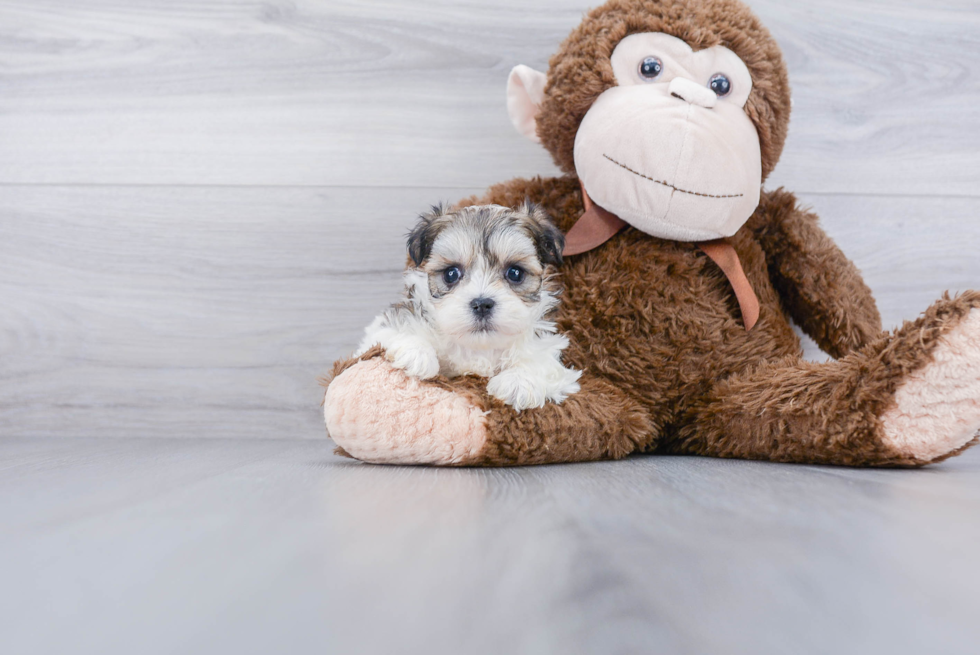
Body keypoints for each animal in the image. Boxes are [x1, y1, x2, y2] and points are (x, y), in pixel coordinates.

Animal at [354, 202, 580, 412]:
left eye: (515, 273)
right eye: (451, 274)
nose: (482, 304)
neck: (477, 347)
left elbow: (543, 359)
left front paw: (519, 381)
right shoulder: (379, 331)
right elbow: (389, 332)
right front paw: (415, 352)